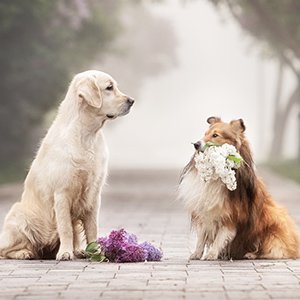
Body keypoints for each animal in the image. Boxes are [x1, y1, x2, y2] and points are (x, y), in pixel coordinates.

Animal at [0, 70, 134, 260]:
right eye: (109, 87)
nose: (131, 101)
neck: (87, 136)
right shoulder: (62, 193)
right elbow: (65, 228)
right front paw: (64, 253)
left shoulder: (94, 194)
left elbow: (92, 228)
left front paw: (96, 252)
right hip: (18, 215)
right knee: (6, 249)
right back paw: (25, 253)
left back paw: (79, 251)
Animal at [179, 117, 298, 260]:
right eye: (205, 133)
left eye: (215, 135)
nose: (196, 144)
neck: (217, 176)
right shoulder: (204, 212)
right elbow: (201, 237)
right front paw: (196, 254)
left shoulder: (232, 215)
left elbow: (220, 237)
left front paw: (212, 254)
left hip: (273, 221)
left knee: (269, 249)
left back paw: (251, 254)